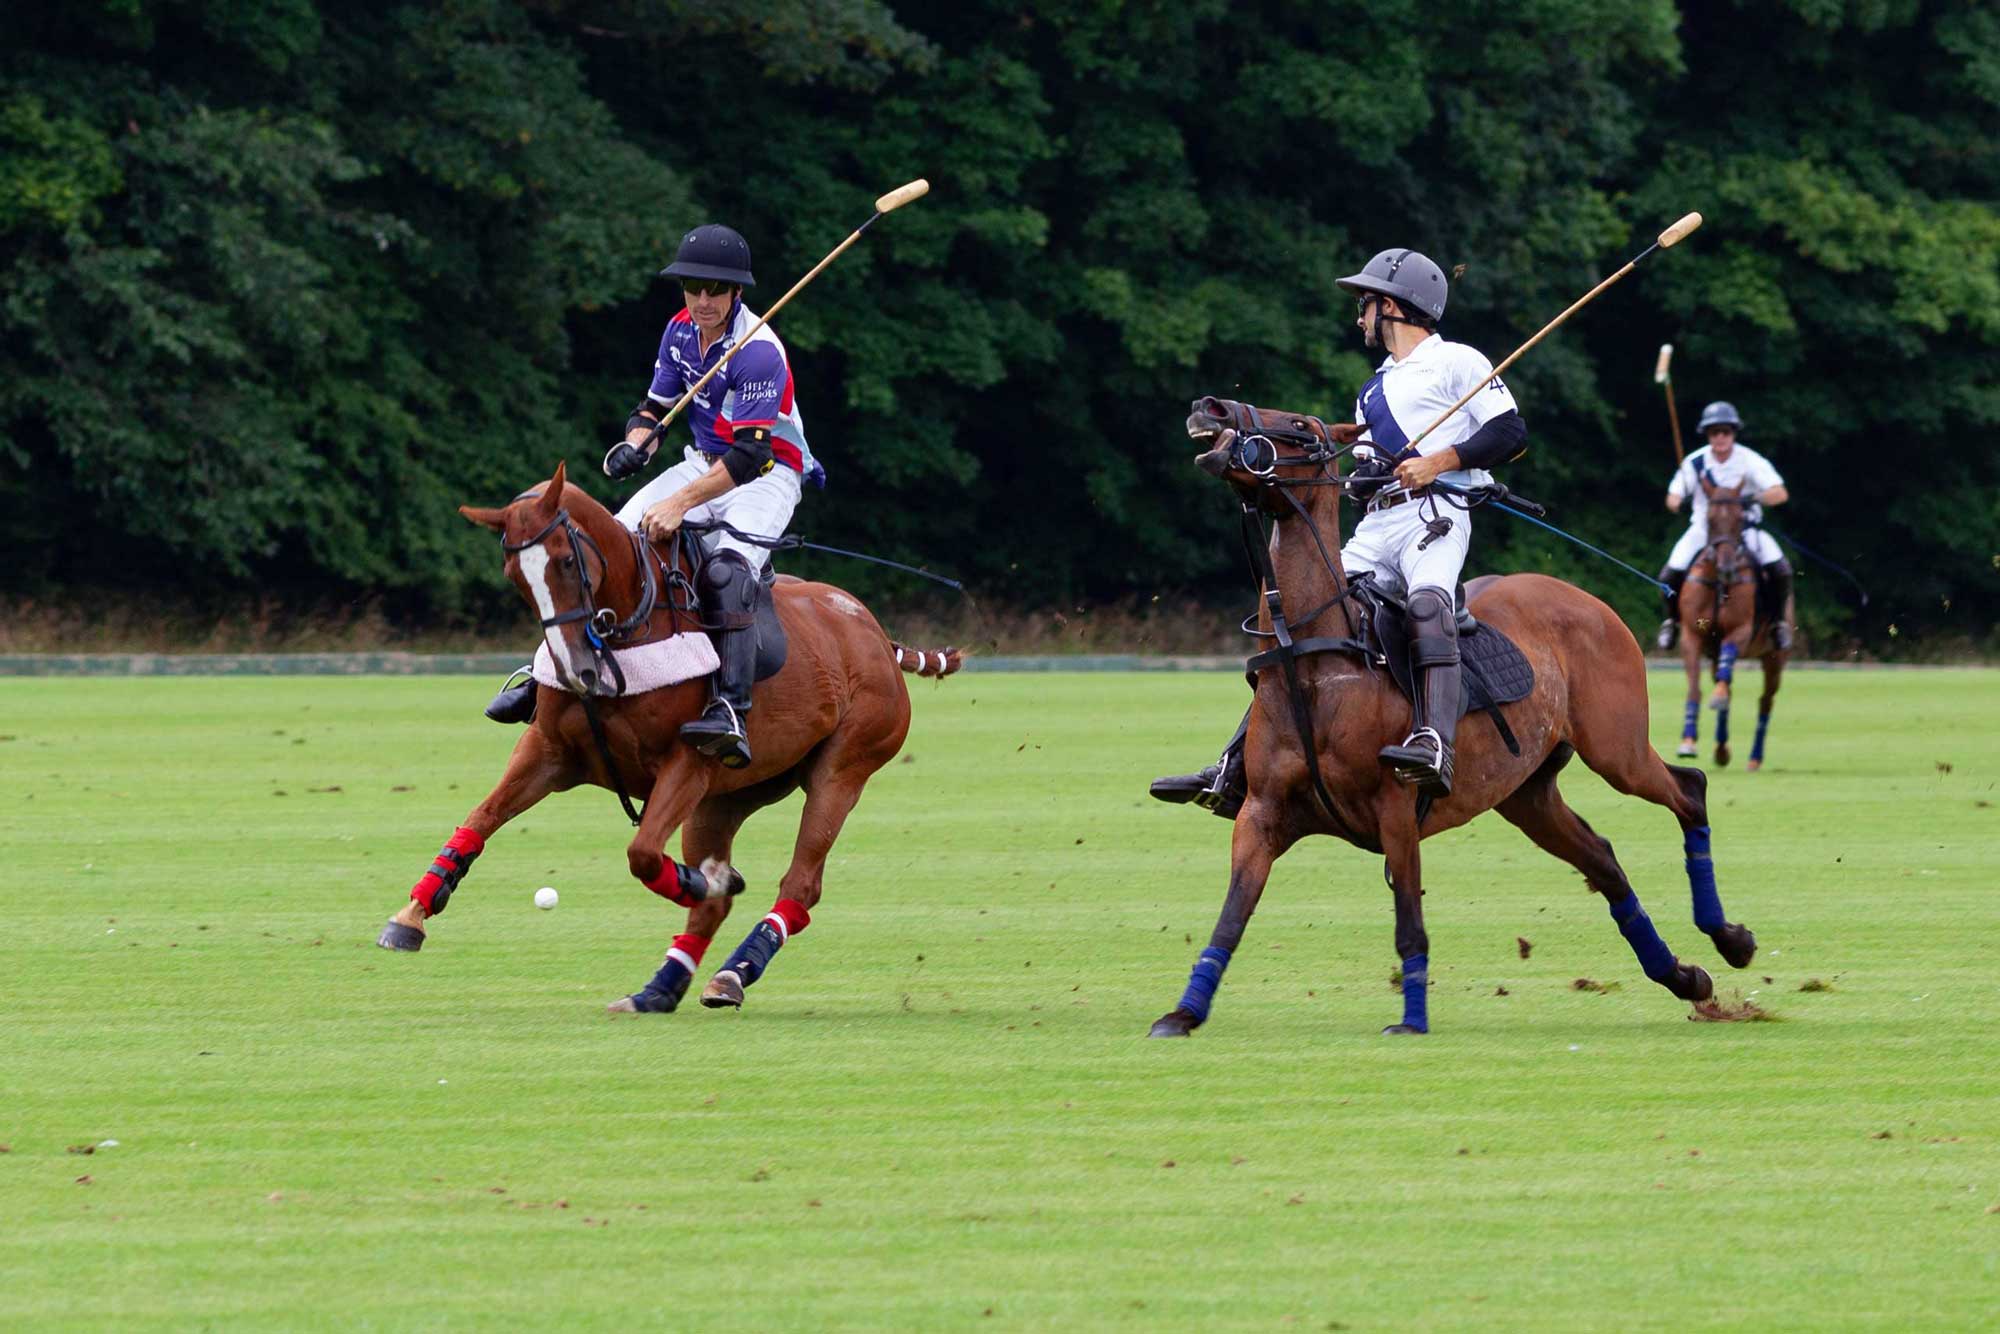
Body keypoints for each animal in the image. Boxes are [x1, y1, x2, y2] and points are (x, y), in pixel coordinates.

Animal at [384, 462, 968, 1012]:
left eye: (567, 561)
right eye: (514, 576)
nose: (578, 672)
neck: (624, 629)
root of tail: (876, 633)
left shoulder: (686, 763)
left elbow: (643, 853)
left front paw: (706, 880)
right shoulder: (548, 751)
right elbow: (481, 818)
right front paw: (411, 915)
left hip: (844, 766)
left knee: (800, 882)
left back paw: (732, 970)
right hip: (727, 797)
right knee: (718, 901)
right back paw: (659, 989)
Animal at [1152, 412, 1760, 1040]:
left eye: (1299, 426)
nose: (1210, 409)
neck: (1315, 660)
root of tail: (1588, 600)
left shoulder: (1394, 809)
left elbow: (1409, 924)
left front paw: (1411, 1020)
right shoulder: (1261, 814)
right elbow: (1230, 917)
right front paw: (1183, 1013)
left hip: (1617, 749)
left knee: (1688, 791)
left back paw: (1730, 938)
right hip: (1527, 793)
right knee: (1605, 859)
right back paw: (1686, 977)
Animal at [1680, 480, 1792, 772]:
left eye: (1740, 519)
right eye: (1709, 519)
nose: (1728, 569)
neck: (1719, 583)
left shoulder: (1740, 630)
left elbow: (1726, 674)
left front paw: (1717, 698)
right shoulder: (1691, 636)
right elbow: (1694, 687)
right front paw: (1688, 741)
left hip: (1775, 657)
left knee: (1765, 700)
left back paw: (1754, 757)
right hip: (1714, 653)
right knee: (1726, 684)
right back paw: (1721, 749)